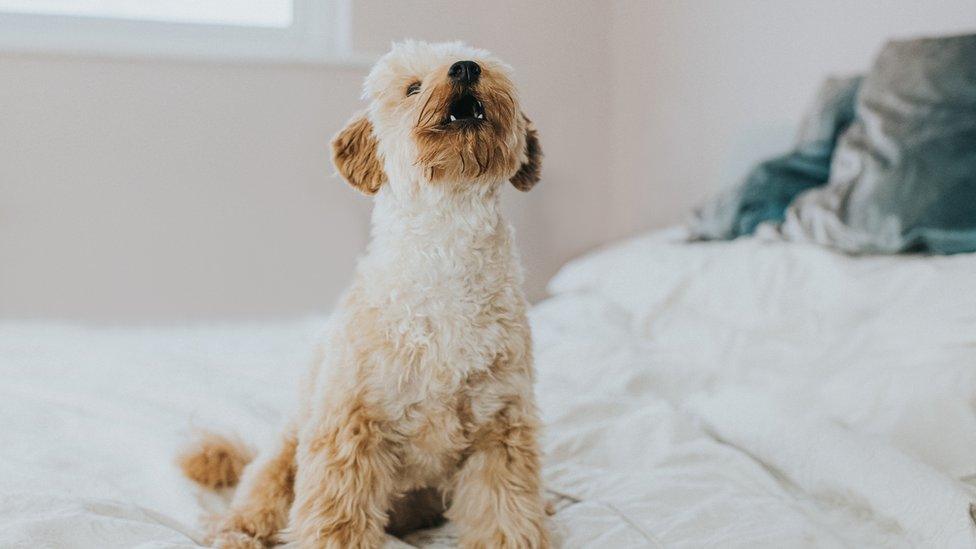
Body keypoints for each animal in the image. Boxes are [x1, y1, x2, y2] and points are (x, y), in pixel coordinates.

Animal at [177, 39, 548, 548]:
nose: (465, 68)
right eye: (412, 87)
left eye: (485, 66)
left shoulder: (500, 429)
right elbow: (337, 520)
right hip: (287, 445)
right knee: (259, 494)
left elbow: (505, 515)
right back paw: (235, 531)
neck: (446, 254)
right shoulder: (349, 425)